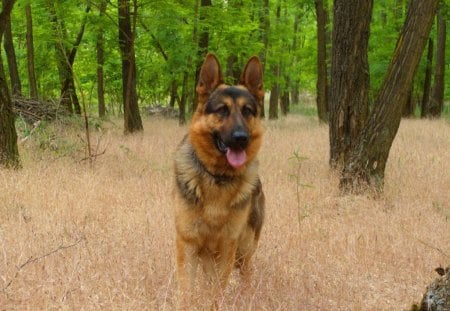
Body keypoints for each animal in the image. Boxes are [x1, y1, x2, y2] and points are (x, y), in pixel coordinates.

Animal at [174, 54, 266, 308]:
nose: (241, 138)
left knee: (246, 273)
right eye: (222, 110)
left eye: (247, 111)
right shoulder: (188, 244)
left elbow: (218, 291)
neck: (218, 178)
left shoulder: (227, 247)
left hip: (244, 249)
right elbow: (186, 289)